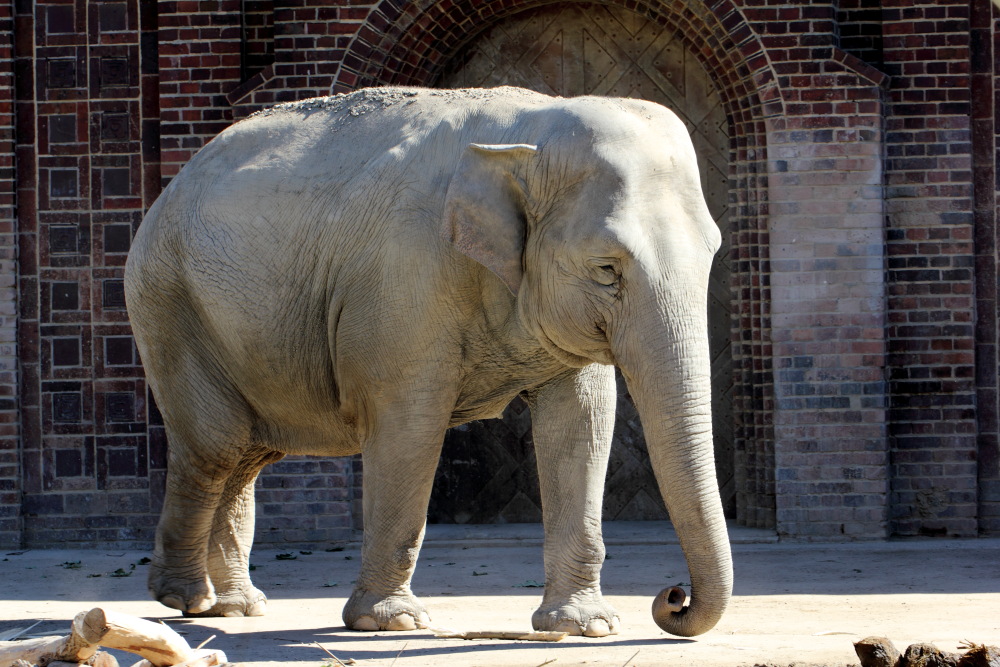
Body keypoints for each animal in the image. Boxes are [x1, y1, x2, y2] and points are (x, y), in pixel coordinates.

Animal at [123, 86, 736, 640]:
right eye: (607, 269)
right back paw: (186, 598)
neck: (528, 130)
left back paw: (239, 607)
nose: (673, 597)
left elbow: (582, 423)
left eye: (712, 252)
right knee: (215, 447)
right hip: (168, 304)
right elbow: (409, 422)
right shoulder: (403, 281)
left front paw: (586, 626)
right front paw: (389, 622)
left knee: (247, 455)